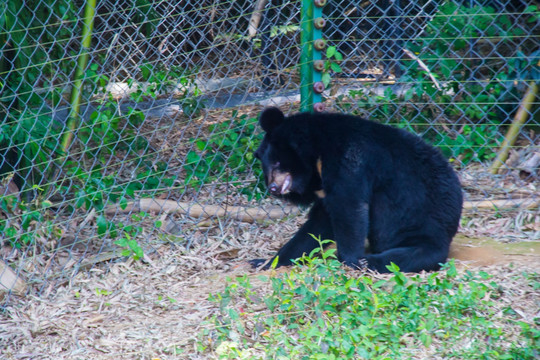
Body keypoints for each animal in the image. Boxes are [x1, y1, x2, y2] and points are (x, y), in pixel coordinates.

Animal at [251, 107, 462, 272]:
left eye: (278, 162)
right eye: (266, 166)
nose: (273, 188)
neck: (317, 158)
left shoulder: (349, 162)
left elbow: (349, 210)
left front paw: (349, 260)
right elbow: (319, 223)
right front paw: (264, 262)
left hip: (423, 230)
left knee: (406, 256)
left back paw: (366, 261)